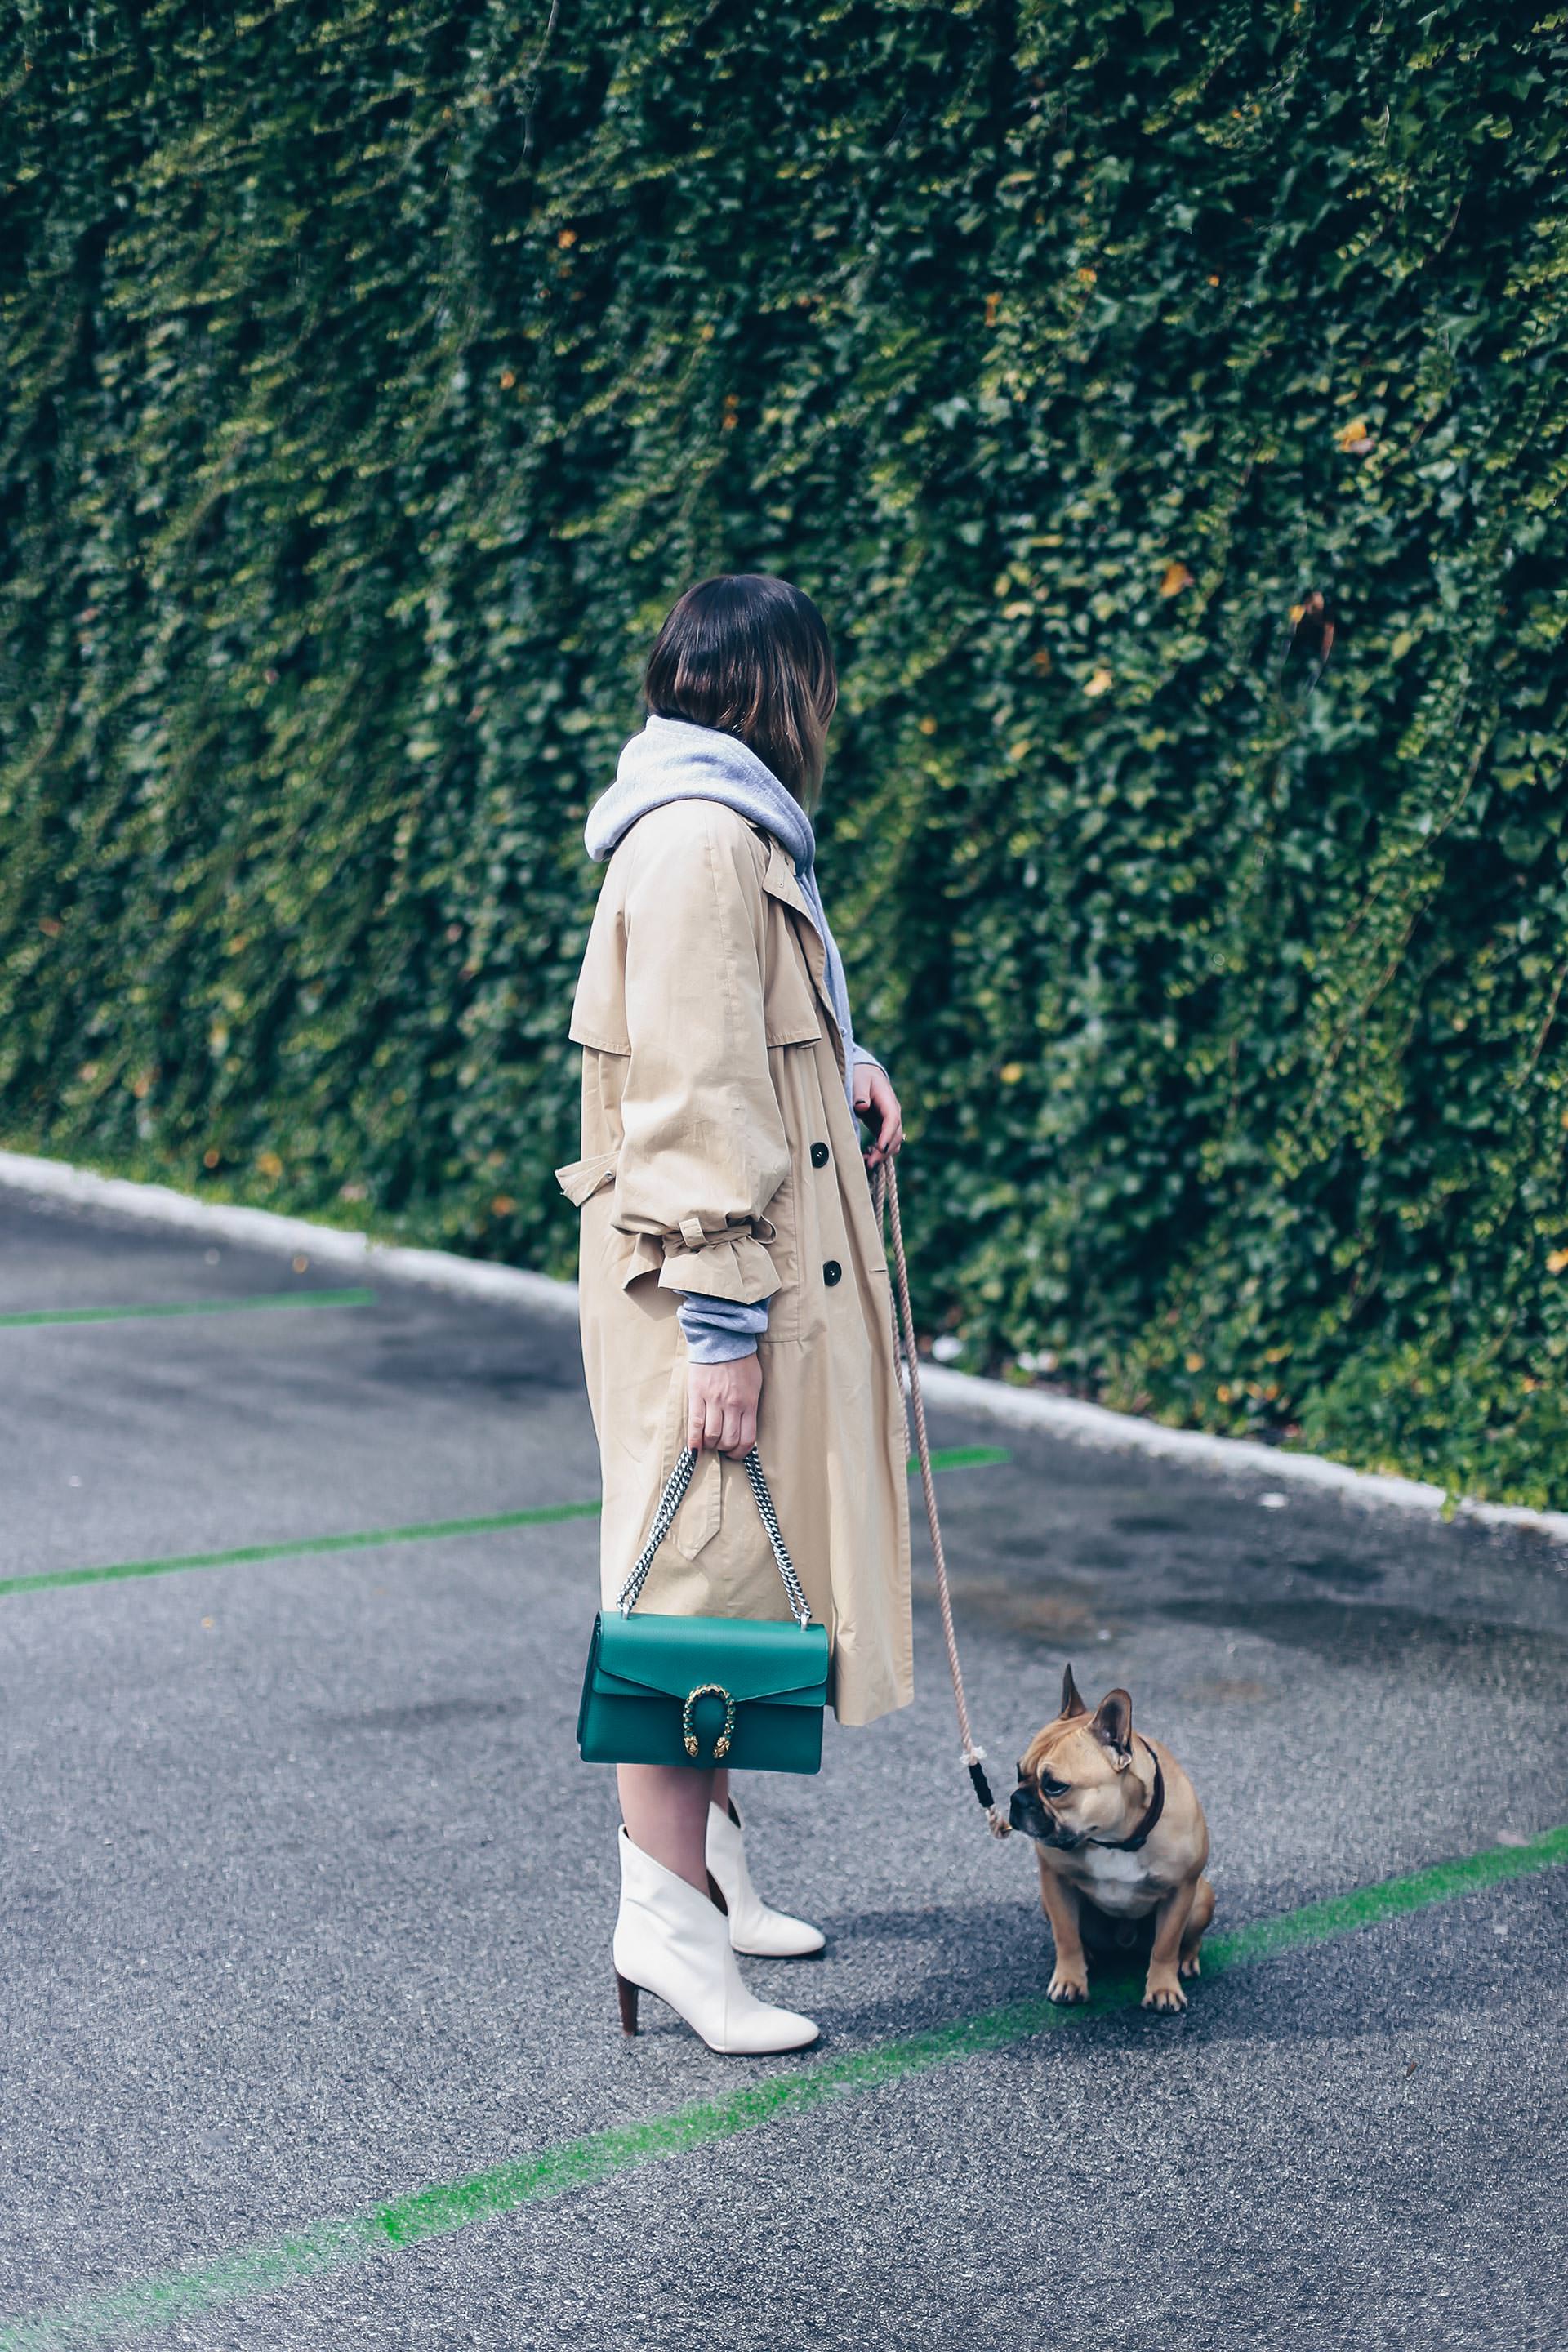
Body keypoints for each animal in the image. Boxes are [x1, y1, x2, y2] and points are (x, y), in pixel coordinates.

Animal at [1010, 1665, 1222, 2013]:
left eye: (1055, 1786)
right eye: (1018, 1772)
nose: (1017, 1799)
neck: (1113, 1839)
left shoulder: (1181, 1891)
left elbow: (1166, 1945)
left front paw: (1163, 1988)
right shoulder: (1055, 1881)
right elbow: (1066, 1936)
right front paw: (1070, 1980)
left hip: (1202, 1897)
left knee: (1186, 1940)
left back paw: (1187, 1960)